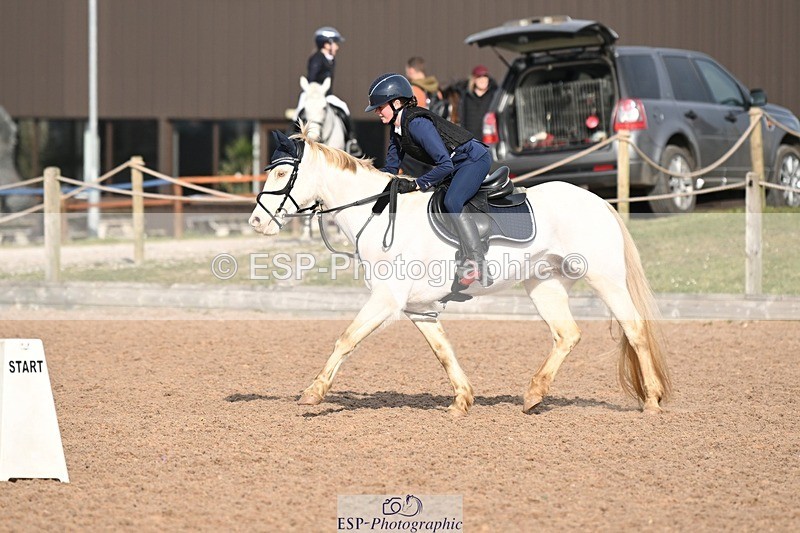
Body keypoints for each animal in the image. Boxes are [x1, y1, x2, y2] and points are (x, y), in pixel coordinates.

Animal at [249, 124, 671, 416]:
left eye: (282, 175)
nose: (256, 222)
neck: (377, 213)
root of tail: (599, 202)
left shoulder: (386, 299)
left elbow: (346, 339)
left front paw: (313, 393)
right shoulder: (419, 308)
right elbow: (443, 352)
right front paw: (461, 401)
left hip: (604, 278)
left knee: (635, 329)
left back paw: (651, 400)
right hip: (543, 283)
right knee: (567, 334)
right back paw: (534, 395)